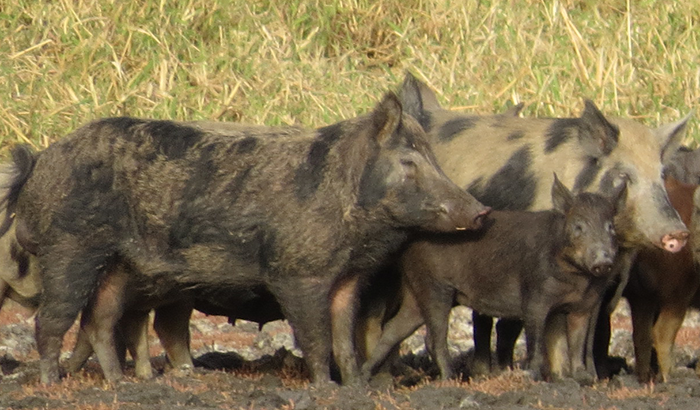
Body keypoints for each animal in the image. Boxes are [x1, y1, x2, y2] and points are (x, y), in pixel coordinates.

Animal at [2, 93, 490, 384]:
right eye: (409, 162)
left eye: (433, 158)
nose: (480, 211)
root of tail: (40, 161)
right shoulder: (297, 273)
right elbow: (314, 335)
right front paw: (324, 387)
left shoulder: (348, 278)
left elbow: (344, 335)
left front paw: (353, 386)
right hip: (70, 248)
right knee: (52, 320)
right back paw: (51, 382)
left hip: (118, 265)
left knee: (100, 321)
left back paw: (123, 384)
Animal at [364, 176, 628, 382]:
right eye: (578, 226)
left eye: (611, 227)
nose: (603, 260)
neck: (575, 280)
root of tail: (409, 242)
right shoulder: (534, 297)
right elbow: (536, 341)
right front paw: (532, 376)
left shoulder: (584, 306)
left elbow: (578, 342)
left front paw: (583, 379)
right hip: (434, 285)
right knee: (433, 337)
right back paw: (452, 381)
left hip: (415, 289)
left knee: (394, 329)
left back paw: (362, 377)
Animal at [624, 177, 700, 384]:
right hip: (676, 297)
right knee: (662, 333)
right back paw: (669, 375)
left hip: (642, 297)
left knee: (641, 335)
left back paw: (645, 377)